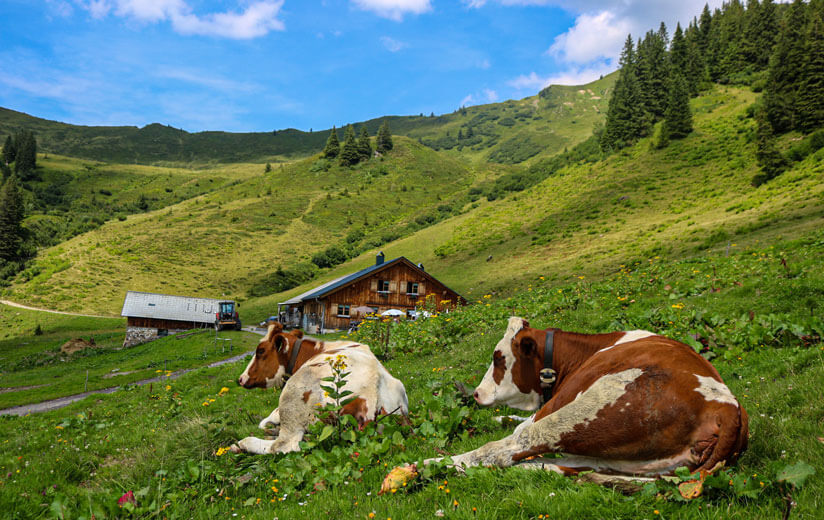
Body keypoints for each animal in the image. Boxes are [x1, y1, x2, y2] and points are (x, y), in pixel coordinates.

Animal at [230, 322, 408, 452]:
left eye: (260, 351)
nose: (241, 379)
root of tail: (373, 384)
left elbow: (267, 419)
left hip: (294, 393)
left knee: (284, 445)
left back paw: (242, 444)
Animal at [386, 318, 748, 486]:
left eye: (498, 357)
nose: (476, 393)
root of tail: (727, 409)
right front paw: (497, 419)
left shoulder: (560, 401)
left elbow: (515, 432)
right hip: (624, 456)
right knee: (553, 464)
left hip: (590, 411)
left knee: (506, 449)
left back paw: (420, 467)